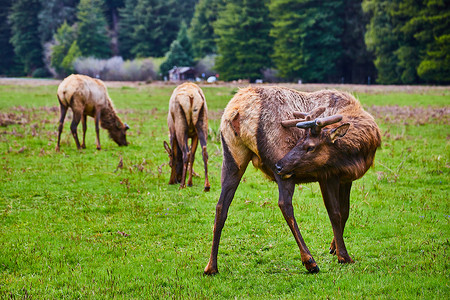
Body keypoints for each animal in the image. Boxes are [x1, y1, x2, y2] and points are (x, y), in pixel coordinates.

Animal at [206, 86, 382, 274]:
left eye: (309, 147)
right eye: (300, 142)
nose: (279, 165)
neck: (357, 152)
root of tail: (237, 109)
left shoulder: (346, 178)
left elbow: (345, 211)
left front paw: (333, 247)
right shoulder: (327, 175)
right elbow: (335, 213)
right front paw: (343, 256)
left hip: (233, 158)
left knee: (221, 205)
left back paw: (211, 267)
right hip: (282, 166)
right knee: (284, 204)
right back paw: (310, 260)